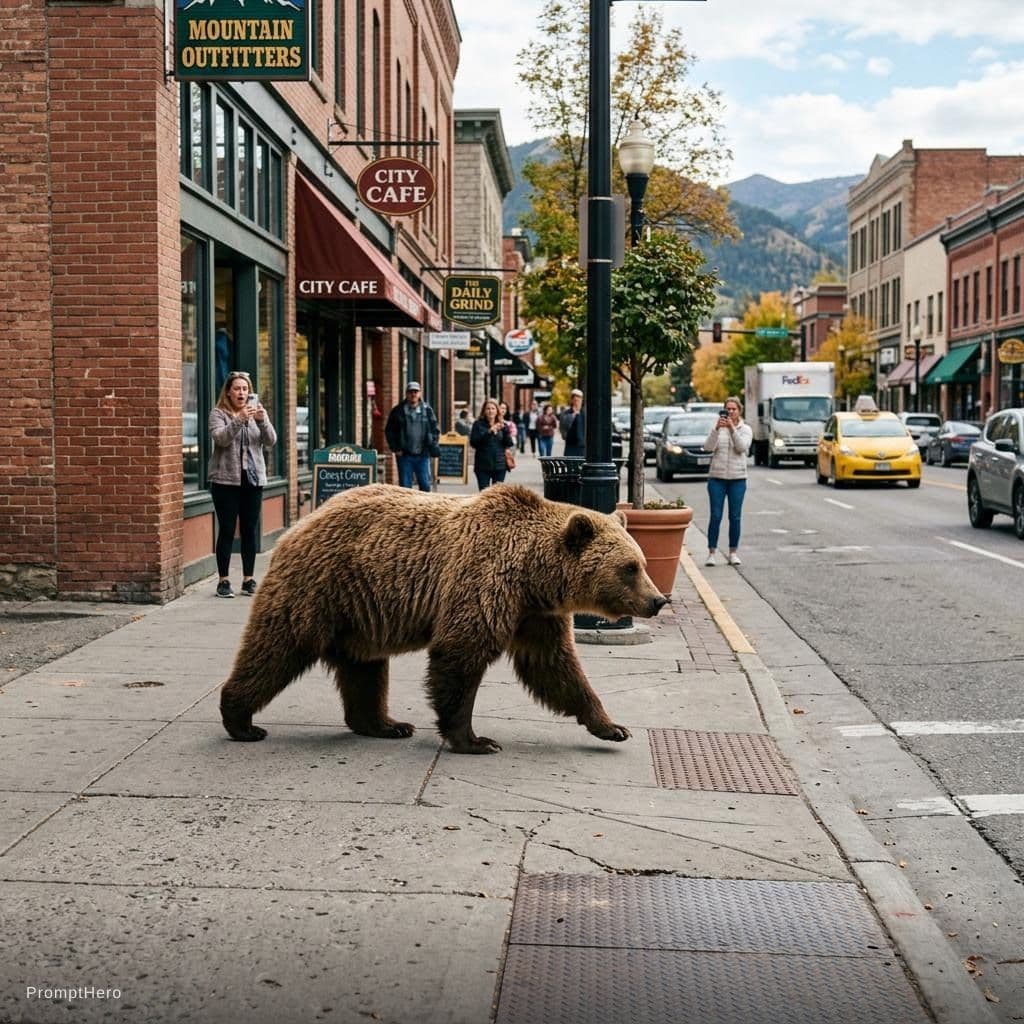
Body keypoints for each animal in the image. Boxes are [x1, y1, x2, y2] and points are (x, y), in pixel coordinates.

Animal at [219, 483, 667, 754]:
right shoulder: (485, 582)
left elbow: (556, 669)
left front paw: (612, 726)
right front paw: (475, 739)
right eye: (629, 568)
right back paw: (242, 721)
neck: (533, 575)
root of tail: (298, 526)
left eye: (641, 563)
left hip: (358, 615)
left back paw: (386, 724)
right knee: (277, 646)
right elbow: (461, 655)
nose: (658, 600)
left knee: (364, 669)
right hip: (319, 587)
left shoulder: (534, 614)